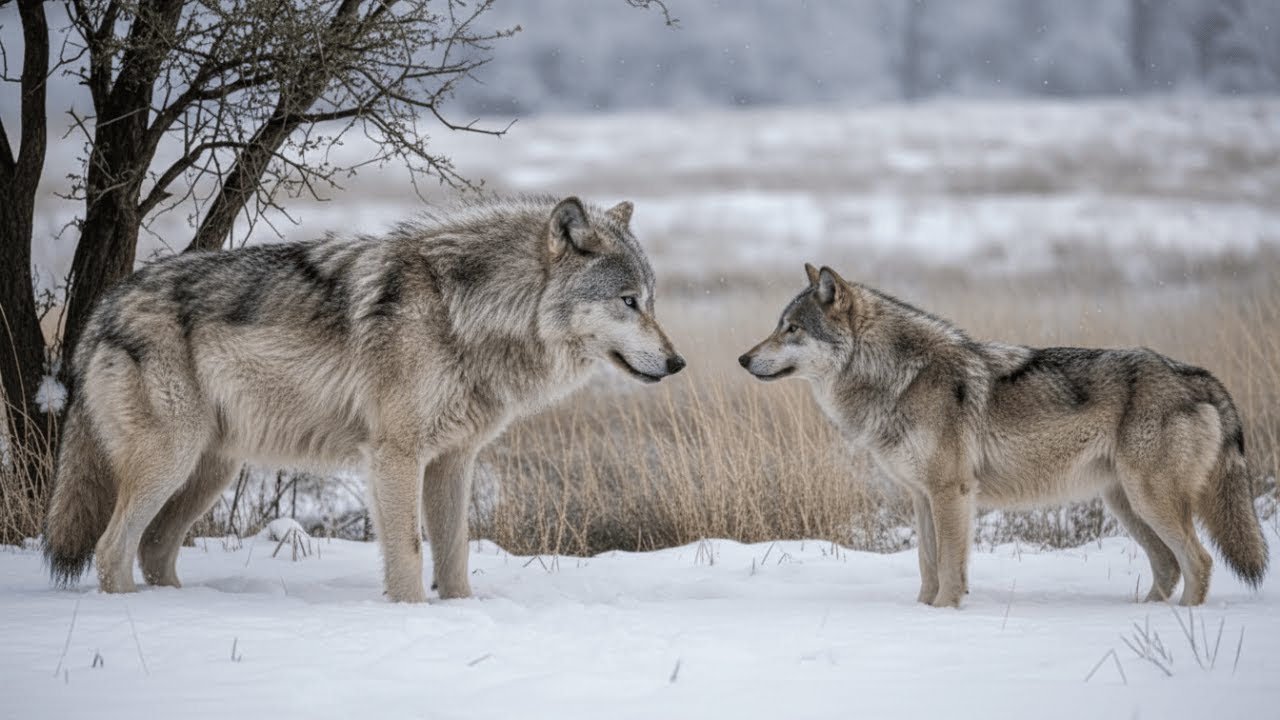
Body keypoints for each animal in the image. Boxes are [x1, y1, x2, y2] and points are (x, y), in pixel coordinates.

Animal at [43, 196, 685, 602]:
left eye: (652, 301)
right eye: (628, 301)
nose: (677, 362)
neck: (467, 314)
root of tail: (101, 309)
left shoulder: (454, 461)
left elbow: (454, 555)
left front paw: (462, 615)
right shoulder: (395, 456)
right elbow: (408, 553)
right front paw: (411, 618)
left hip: (211, 471)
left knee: (153, 549)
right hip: (172, 461)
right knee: (111, 549)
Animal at [740, 264, 1267, 607]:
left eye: (791, 329)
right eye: (778, 326)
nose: (743, 359)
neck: (899, 378)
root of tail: (1199, 375)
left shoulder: (951, 493)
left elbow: (949, 568)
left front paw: (944, 616)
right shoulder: (920, 496)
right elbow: (927, 565)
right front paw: (921, 616)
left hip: (1149, 500)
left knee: (1199, 562)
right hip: (1126, 504)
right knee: (1169, 566)